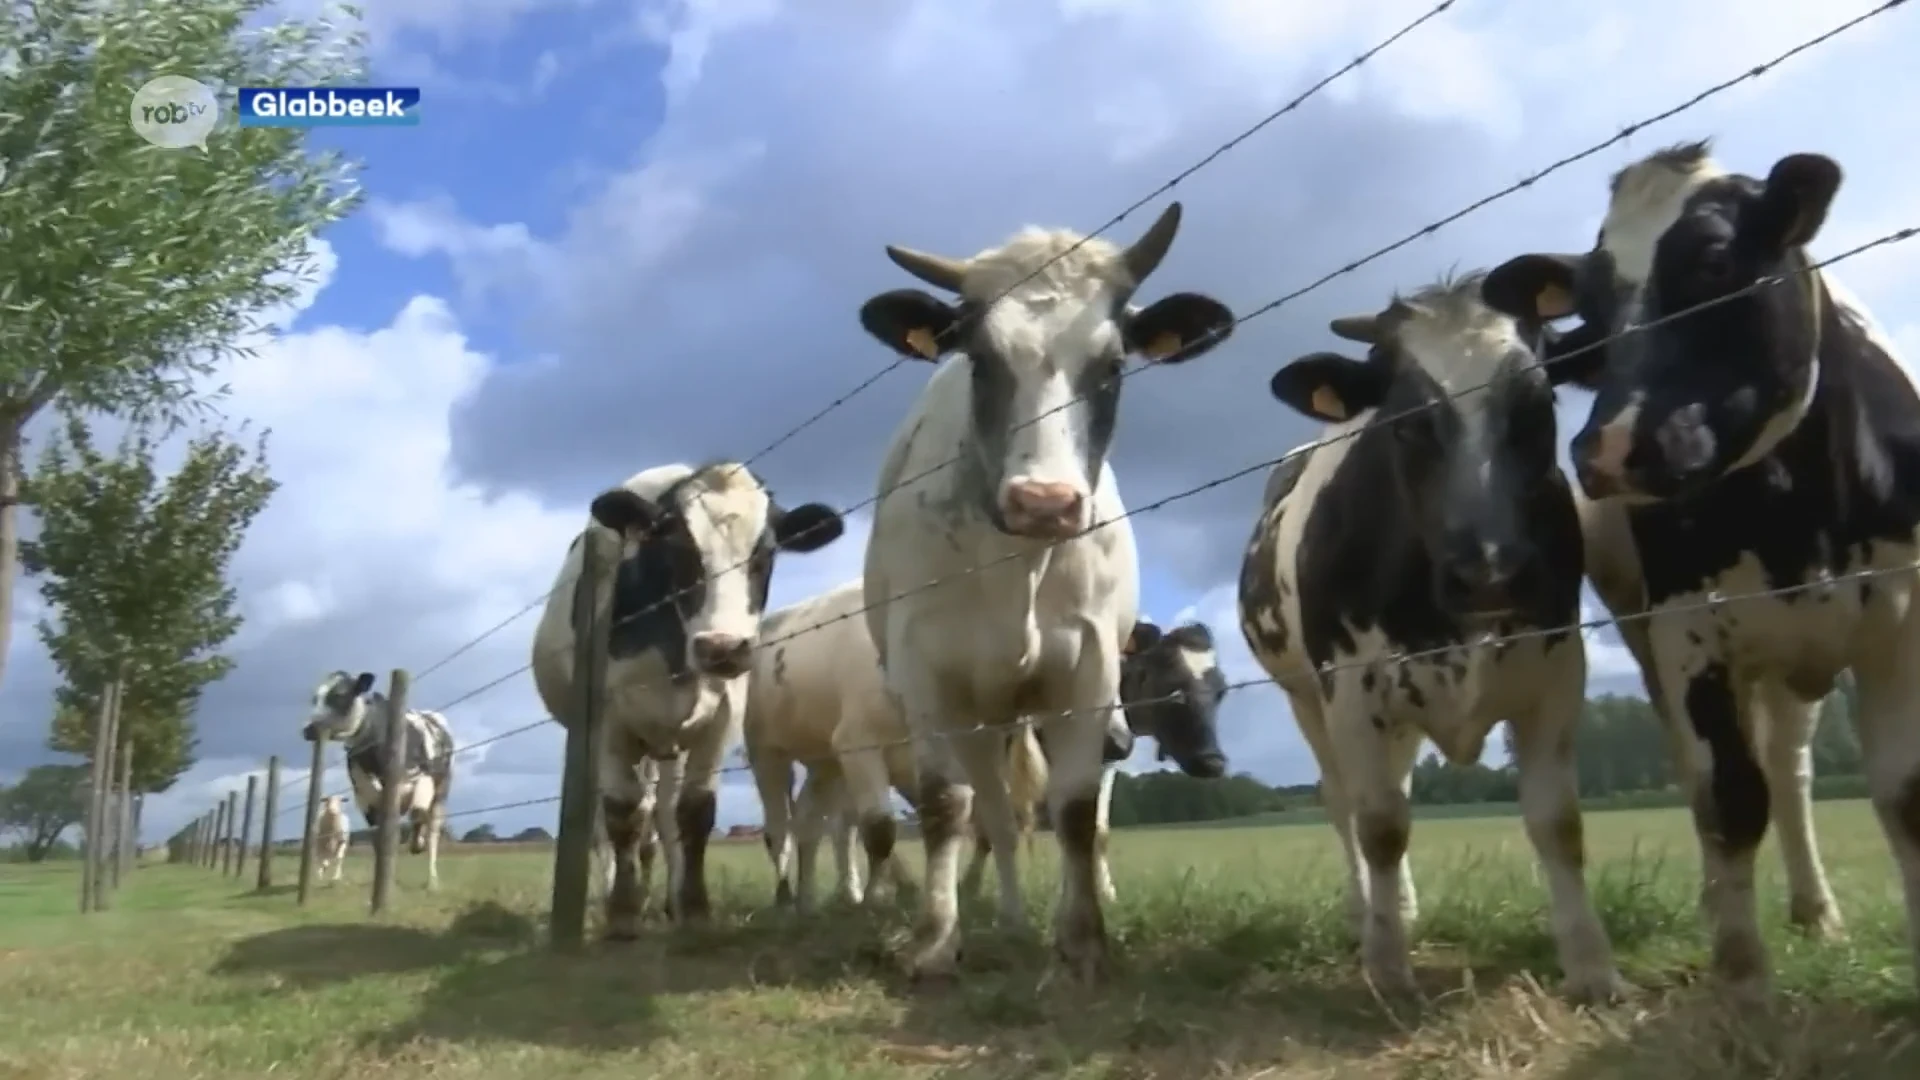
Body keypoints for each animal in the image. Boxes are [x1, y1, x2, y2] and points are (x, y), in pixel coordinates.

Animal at [299, 668, 456, 887]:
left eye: (339, 695)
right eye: (315, 699)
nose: (309, 729)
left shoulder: (422, 779)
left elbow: (418, 816)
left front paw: (418, 844)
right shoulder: (364, 795)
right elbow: (379, 838)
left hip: (441, 791)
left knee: (432, 829)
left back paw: (432, 878)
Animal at [533, 457, 848, 937]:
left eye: (765, 552)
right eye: (678, 547)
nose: (722, 647)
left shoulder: (721, 720)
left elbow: (695, 812)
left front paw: (695, 908)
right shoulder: (608, 722)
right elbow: (622, 813)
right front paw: (622, 913)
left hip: (670, 748)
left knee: (664, 814)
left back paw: (669, 900)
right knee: (616, 823)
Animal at [848, 199, 1236, 976]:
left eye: (1114, 364)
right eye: (980, 359)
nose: (1044, 502)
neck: (1015, 568)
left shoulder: (1090, 676)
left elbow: (1078, 811)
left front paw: (1084, 938)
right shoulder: (929, 678)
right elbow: (946, 806)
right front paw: (935, 940)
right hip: (980, 718)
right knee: (994, 813)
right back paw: (1009, 918)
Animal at [1236, 270, 1628, 999]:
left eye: (1538, 400)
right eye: (1404, 420)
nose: (1490, 572)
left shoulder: (1557, 673)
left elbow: (1557, 822)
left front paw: (1592, 967)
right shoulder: (1350, 691)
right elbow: (1380, 826)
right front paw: (1388, 967)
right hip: (1305, 699)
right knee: (1345, 804)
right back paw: (1365, 914)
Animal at [1482, 141, 1920, 991]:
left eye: (1715, 260)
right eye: (1592, 307)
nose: (1605, 448)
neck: (1795, 509)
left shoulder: (1902, 614)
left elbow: (1902, 792)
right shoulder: (1688, 630)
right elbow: (1730, 796)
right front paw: (1741, 969)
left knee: (1790, 770)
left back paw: (1816, 911)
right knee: (1714, 777)